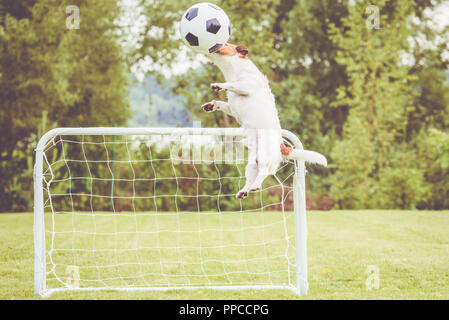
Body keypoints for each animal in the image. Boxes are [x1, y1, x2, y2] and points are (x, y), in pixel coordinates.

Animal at [202, 43, 326, 199]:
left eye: (226, 44)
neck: (234, 70)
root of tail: (282, 147)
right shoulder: (231, 107)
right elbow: (221, 103)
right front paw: (211, 105)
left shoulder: (245, 87)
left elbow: (232, 85)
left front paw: (219, 85)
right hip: (252, 164)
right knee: (252, 178)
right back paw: (244, 191)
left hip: (264, 155)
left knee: (265, 172)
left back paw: (255, 186)